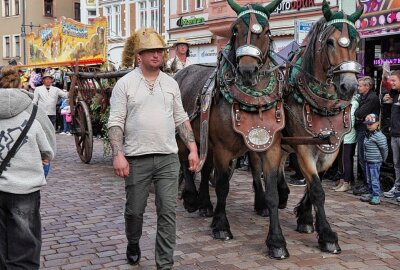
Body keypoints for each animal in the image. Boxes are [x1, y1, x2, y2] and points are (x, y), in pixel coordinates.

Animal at [175, 0, 290, 258]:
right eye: (234, 30)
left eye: (266, 31)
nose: (247, 70)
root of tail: (179, 73)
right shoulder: (223, 149)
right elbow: (222, 186)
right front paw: (221, 226)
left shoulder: (270, 148)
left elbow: (271, 192)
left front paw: (277, 241)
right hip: (183, 135)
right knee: (185, 162)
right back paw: (190, 198)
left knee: (204, 168)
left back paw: (205, 205)